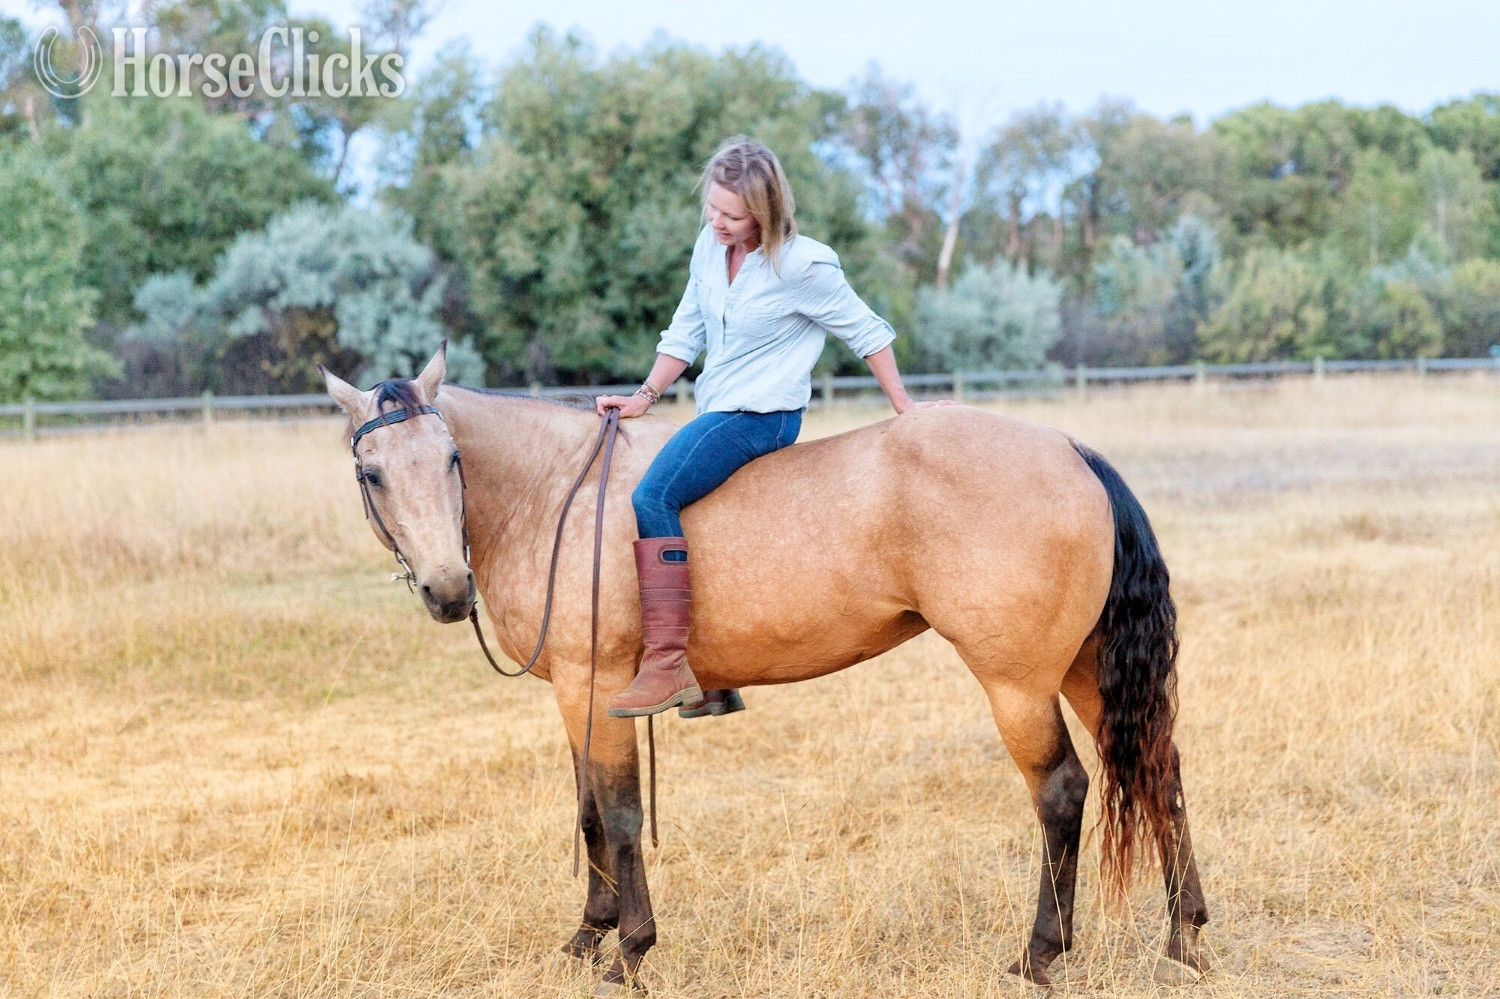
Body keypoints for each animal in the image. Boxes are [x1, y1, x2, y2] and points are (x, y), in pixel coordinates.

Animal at [321, 346, 1211, 994]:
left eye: (451, 459)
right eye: (372, 473)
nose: (447, 588)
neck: (554, 492)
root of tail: (1071, 450)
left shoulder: (596, 687)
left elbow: (619, 815)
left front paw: (629, 949)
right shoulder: (578, 695)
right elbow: (588, 813)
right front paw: (587, 934)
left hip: (1018, 684)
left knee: (1061, 793)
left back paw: (1039, 953)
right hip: (1087, 671)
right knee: (1158, 770)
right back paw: (1184, 935)